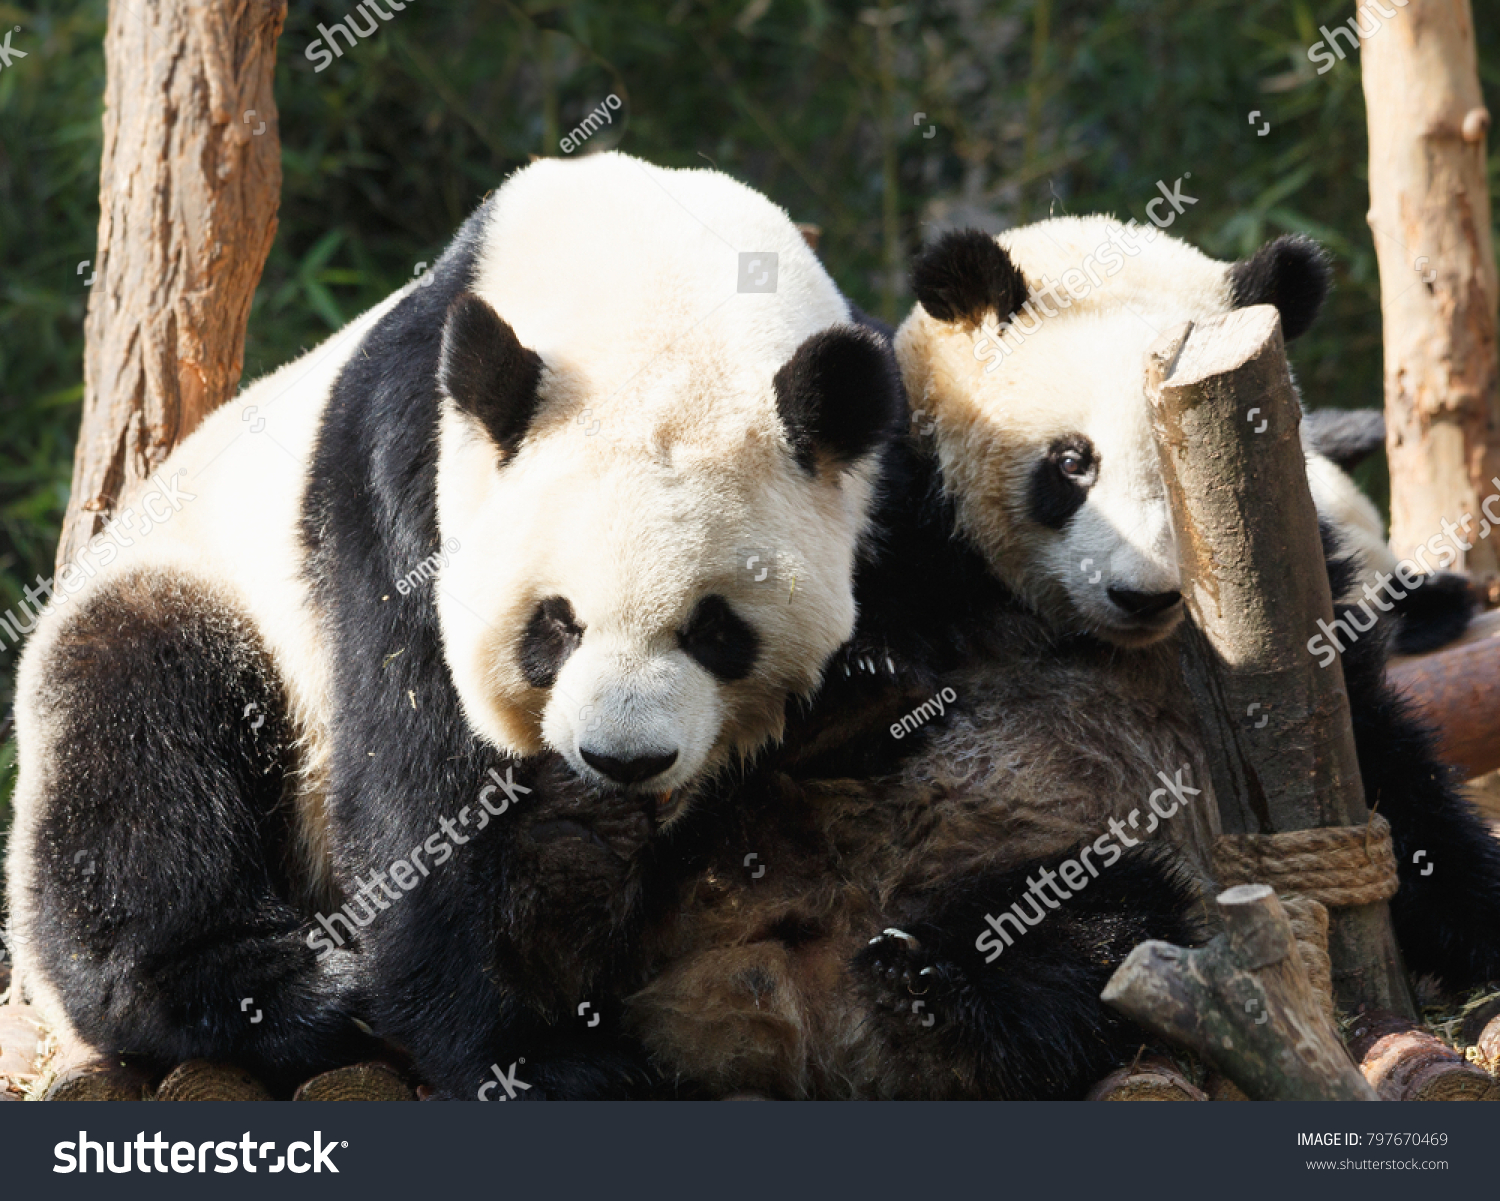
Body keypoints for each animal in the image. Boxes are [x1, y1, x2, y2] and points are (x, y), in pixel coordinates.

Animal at [2, 154, 900, 1103]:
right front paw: (531, 1053)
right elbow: (417, 768)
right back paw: (285, 992)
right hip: (194, 590)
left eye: (715, 630)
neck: (657, 265)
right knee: (137, 754)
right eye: (555, 625)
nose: (624, 760)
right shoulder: (404, 471)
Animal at [618, 212, 1500, 1097]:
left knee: (1094, 928)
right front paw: (857, 686)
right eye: (1073, 462)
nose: (1144, 595)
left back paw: (931, 990)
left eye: (1179, 467)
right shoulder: (900, 522)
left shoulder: (1290, 599)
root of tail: (786, 998)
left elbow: (1383, 755)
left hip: (1054, 868)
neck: (1067, 625)